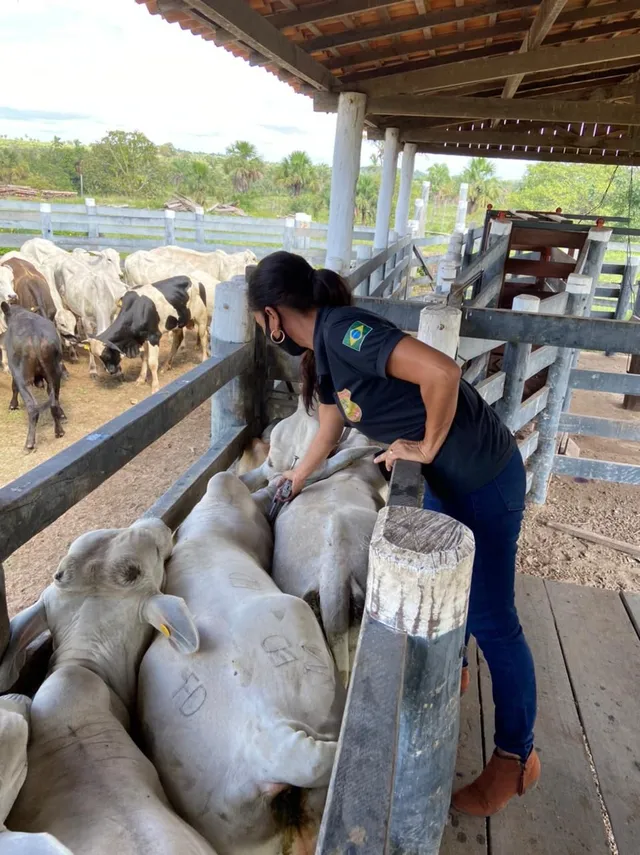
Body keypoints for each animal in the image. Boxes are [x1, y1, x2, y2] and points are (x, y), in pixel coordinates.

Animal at [1, 302, 66, 454]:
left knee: (32, 408)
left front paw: (13, 405)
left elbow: (13, 387)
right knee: (54, 402)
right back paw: (59, 431)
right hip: (55, 373)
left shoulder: (14, 369)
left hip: (23, 378)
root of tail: (35, 335)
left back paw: (29, 444)